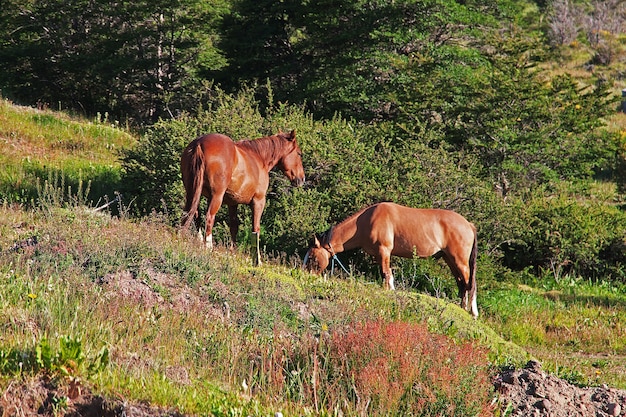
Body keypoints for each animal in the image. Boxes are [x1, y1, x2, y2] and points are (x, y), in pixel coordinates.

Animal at [180, 129, 304, 264]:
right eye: (299, 153)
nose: (302, 179)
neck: (259, 158)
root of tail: (199, 144)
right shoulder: (258, 201)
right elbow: (256, 229)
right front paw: (257, 259)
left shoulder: (232, 203)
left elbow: (234, 227)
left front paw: (232, 251)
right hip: (216, 196)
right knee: (209, 217)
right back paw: (208, 247)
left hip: (192, 192)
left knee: (190, 214)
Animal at [302, 202, 478, 316]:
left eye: (311, 257)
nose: (306, 276)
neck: (365, 221)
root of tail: (469, 224)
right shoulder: (379, 254)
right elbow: (385, 273)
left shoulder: (384, 250)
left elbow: (386, 273)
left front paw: (390, 290)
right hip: (449, 259)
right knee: (462, 284)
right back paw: (463, 308)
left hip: (460, 261)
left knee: (470, 284)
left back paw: (473, 311)